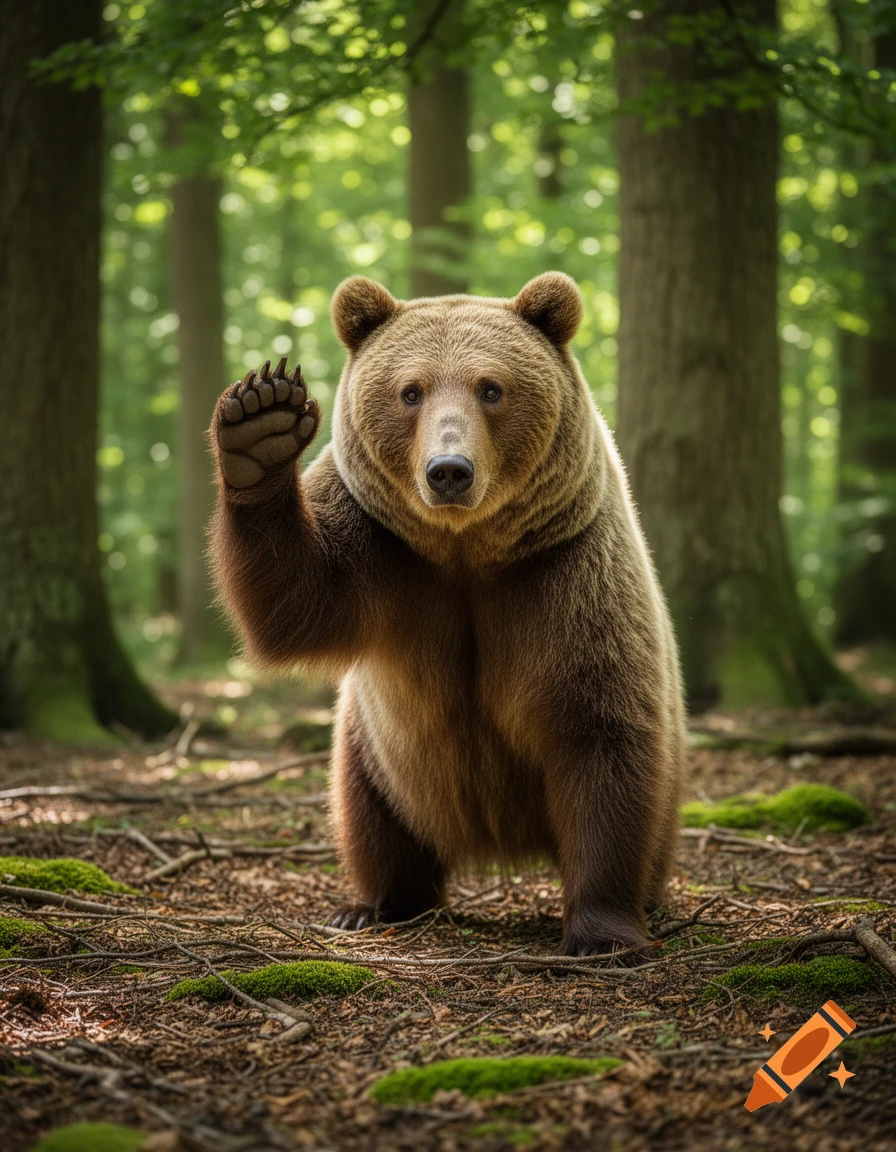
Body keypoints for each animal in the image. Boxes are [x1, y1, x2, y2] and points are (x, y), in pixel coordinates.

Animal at [209, 272, 685, 955]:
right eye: (411, 391)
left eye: (491, 387)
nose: (449, 471)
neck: (465, 550)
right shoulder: (381, 549)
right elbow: (292, 602)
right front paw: (263, 422)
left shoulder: (566, 572)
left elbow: (599, 730)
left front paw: (604, 932)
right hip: (378, 758)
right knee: (372, 822)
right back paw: (376, 904)